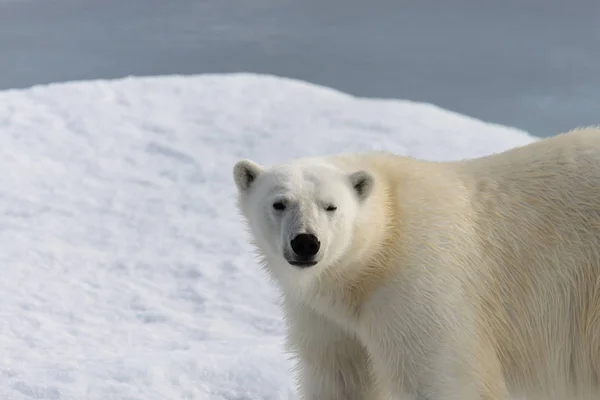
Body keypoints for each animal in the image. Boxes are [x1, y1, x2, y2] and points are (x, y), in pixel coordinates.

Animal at [232, 127, 600, 400]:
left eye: (330, 206)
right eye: (279, 203)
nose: (306, 243)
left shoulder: (419, 283)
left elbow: (440, 376)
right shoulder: (325, 318)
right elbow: (340, 376)